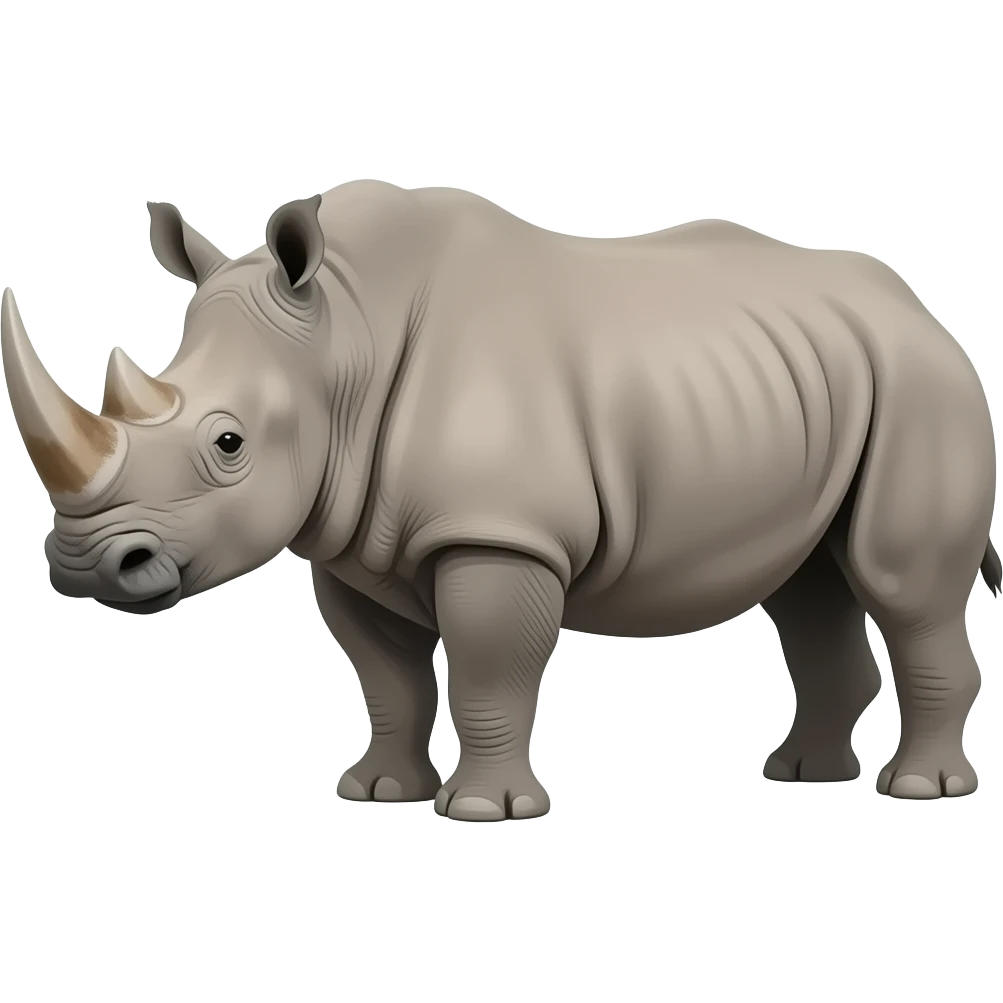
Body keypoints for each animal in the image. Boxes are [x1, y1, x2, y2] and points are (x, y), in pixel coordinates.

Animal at [2, 183, 998, 817]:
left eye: (228, 444)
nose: (85, 564)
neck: (343, 337)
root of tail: (924, 310)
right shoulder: (350, 541)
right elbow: (388, 676)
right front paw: (376, 792)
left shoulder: (498, 532)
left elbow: (488, 664)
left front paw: (484, 809)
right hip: (812, 381)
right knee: (806, 584)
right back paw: (799, 777)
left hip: (921, 386)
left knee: (899, 584)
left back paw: (918, 791)